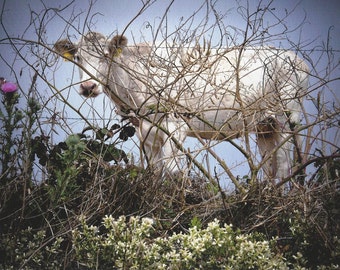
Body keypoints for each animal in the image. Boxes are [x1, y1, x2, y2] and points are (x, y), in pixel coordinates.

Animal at [53, 31, 308, 179]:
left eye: (106, 56)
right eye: (78, 58)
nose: (88, 86)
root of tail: (295, 58)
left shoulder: (175, 125)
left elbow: (172, 170)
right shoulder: (145, 130)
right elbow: (155, 170)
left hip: (286, 118)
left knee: (284, 165)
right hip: (265, 126)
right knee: (270, 168)